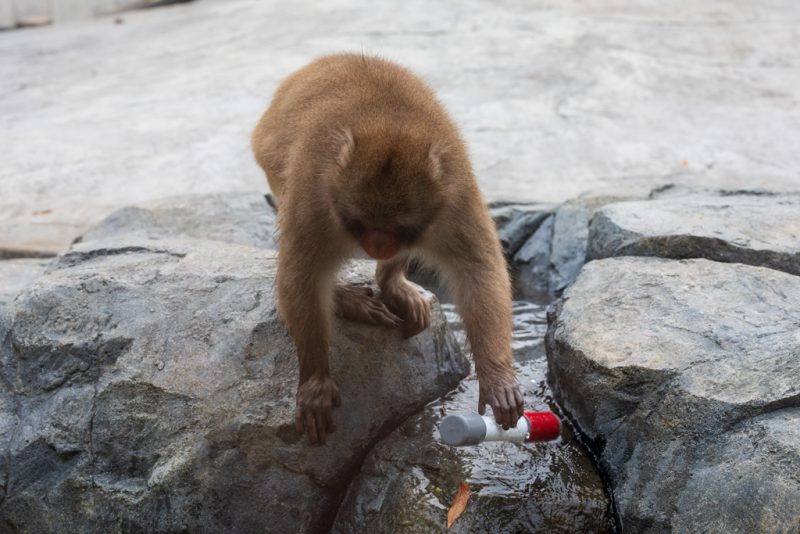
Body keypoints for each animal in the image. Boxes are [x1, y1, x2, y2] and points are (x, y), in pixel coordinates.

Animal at [252, 55, 524, 448]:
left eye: (400, 228)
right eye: (359, 222)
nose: (378, 246)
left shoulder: (454, 196)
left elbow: (477, 267)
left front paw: (496, 376)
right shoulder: (314, 199)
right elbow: (300, 275)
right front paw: (316, 380)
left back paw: (392, 282)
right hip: (271, 160)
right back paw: (347, 298)